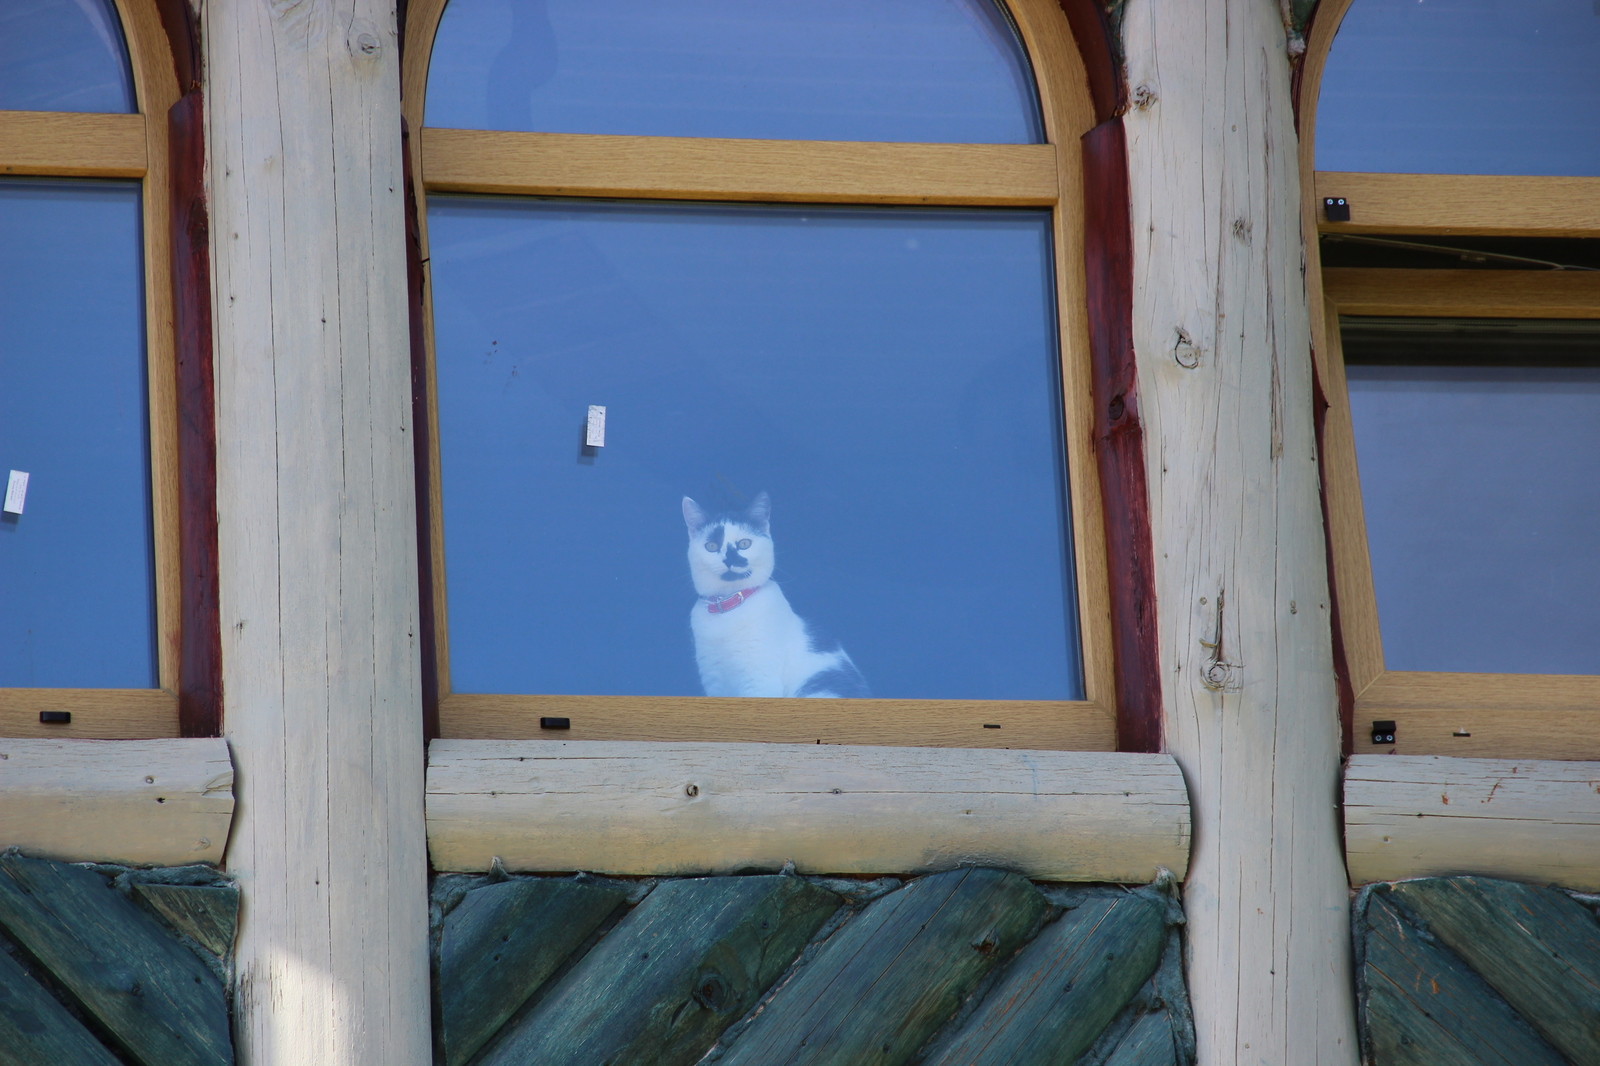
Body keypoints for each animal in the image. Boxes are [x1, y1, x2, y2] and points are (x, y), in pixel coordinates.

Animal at [681, 489, 870, 697]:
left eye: (744, 543)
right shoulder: (714, 681)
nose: (730, 559)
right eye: (712, 547)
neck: (728, 607)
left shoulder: (758, 680)